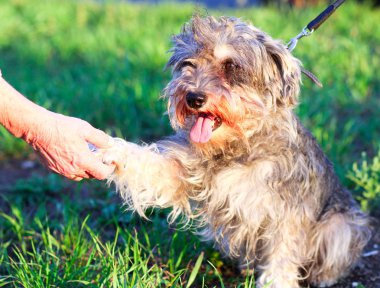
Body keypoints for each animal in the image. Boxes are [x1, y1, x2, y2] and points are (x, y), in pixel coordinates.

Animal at [103, 16, 372, 288]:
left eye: (231, 66)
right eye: (188, 63)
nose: (193, 97)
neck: (236, 145)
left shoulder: (286, 211)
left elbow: (283, 252)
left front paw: (276, 281)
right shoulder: (182, 170)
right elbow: (148, 165)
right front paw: (109, 149)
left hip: (341, 225)